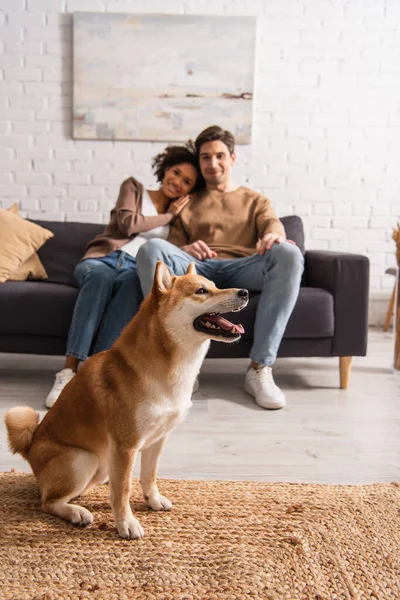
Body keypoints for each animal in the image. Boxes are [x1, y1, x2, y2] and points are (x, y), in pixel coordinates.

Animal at [4, 262, 248, 540]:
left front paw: (153, 500)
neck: (168, 371)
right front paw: (126, 524)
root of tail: (30, 448)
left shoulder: (158, 439)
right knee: (48, 502)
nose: (245, 292)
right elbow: (123, 491)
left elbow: (149, 475)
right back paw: (76, 512)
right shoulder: (126, 445)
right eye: (201, 291)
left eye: (215, 285)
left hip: (99, 464)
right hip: (83, 459)